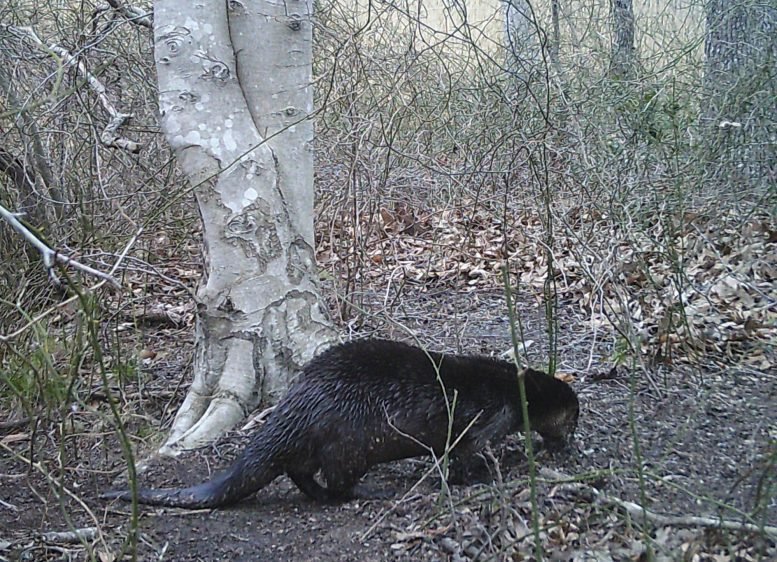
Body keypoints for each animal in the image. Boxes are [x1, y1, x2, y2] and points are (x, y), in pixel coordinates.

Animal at [102, 339, 579, 509]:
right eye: (573, 421)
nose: (569, 444)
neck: (517, 393)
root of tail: (298, 403)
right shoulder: (491, 418)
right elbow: (464, 455)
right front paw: (480, 476)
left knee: (299, 472)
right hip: (350, 442)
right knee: (336, 479)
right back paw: (365, 493)